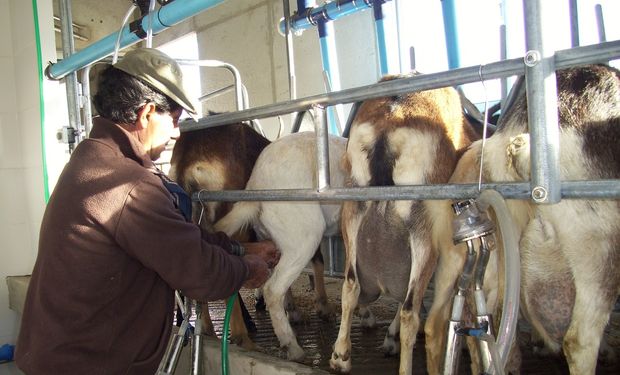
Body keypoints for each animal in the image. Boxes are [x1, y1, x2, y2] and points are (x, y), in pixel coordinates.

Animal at [330, 72, 480, 374]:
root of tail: (390, 120)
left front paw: (388, 339)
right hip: (423, 229)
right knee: (412, 310)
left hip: (352, 211)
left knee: (350, 285)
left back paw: (341, 356)